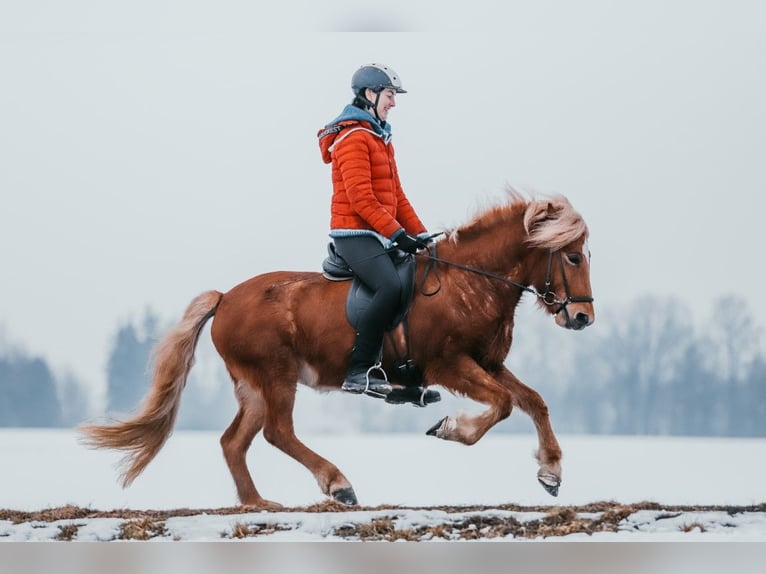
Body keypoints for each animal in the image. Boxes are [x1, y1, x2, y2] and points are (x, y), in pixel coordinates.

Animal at [80, 191, 594, 509]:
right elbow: (504, 404)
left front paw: (551, 472)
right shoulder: (449, 364)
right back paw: (337, 483)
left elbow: (534, 401)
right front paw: (450, 428)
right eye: (572, 256)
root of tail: (225, 298)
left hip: (253, 385)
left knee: (234, 442)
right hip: (276, 375)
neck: (469, 283)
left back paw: (257, 503)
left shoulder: (487, 363)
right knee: (278, 433)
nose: (582, 318)